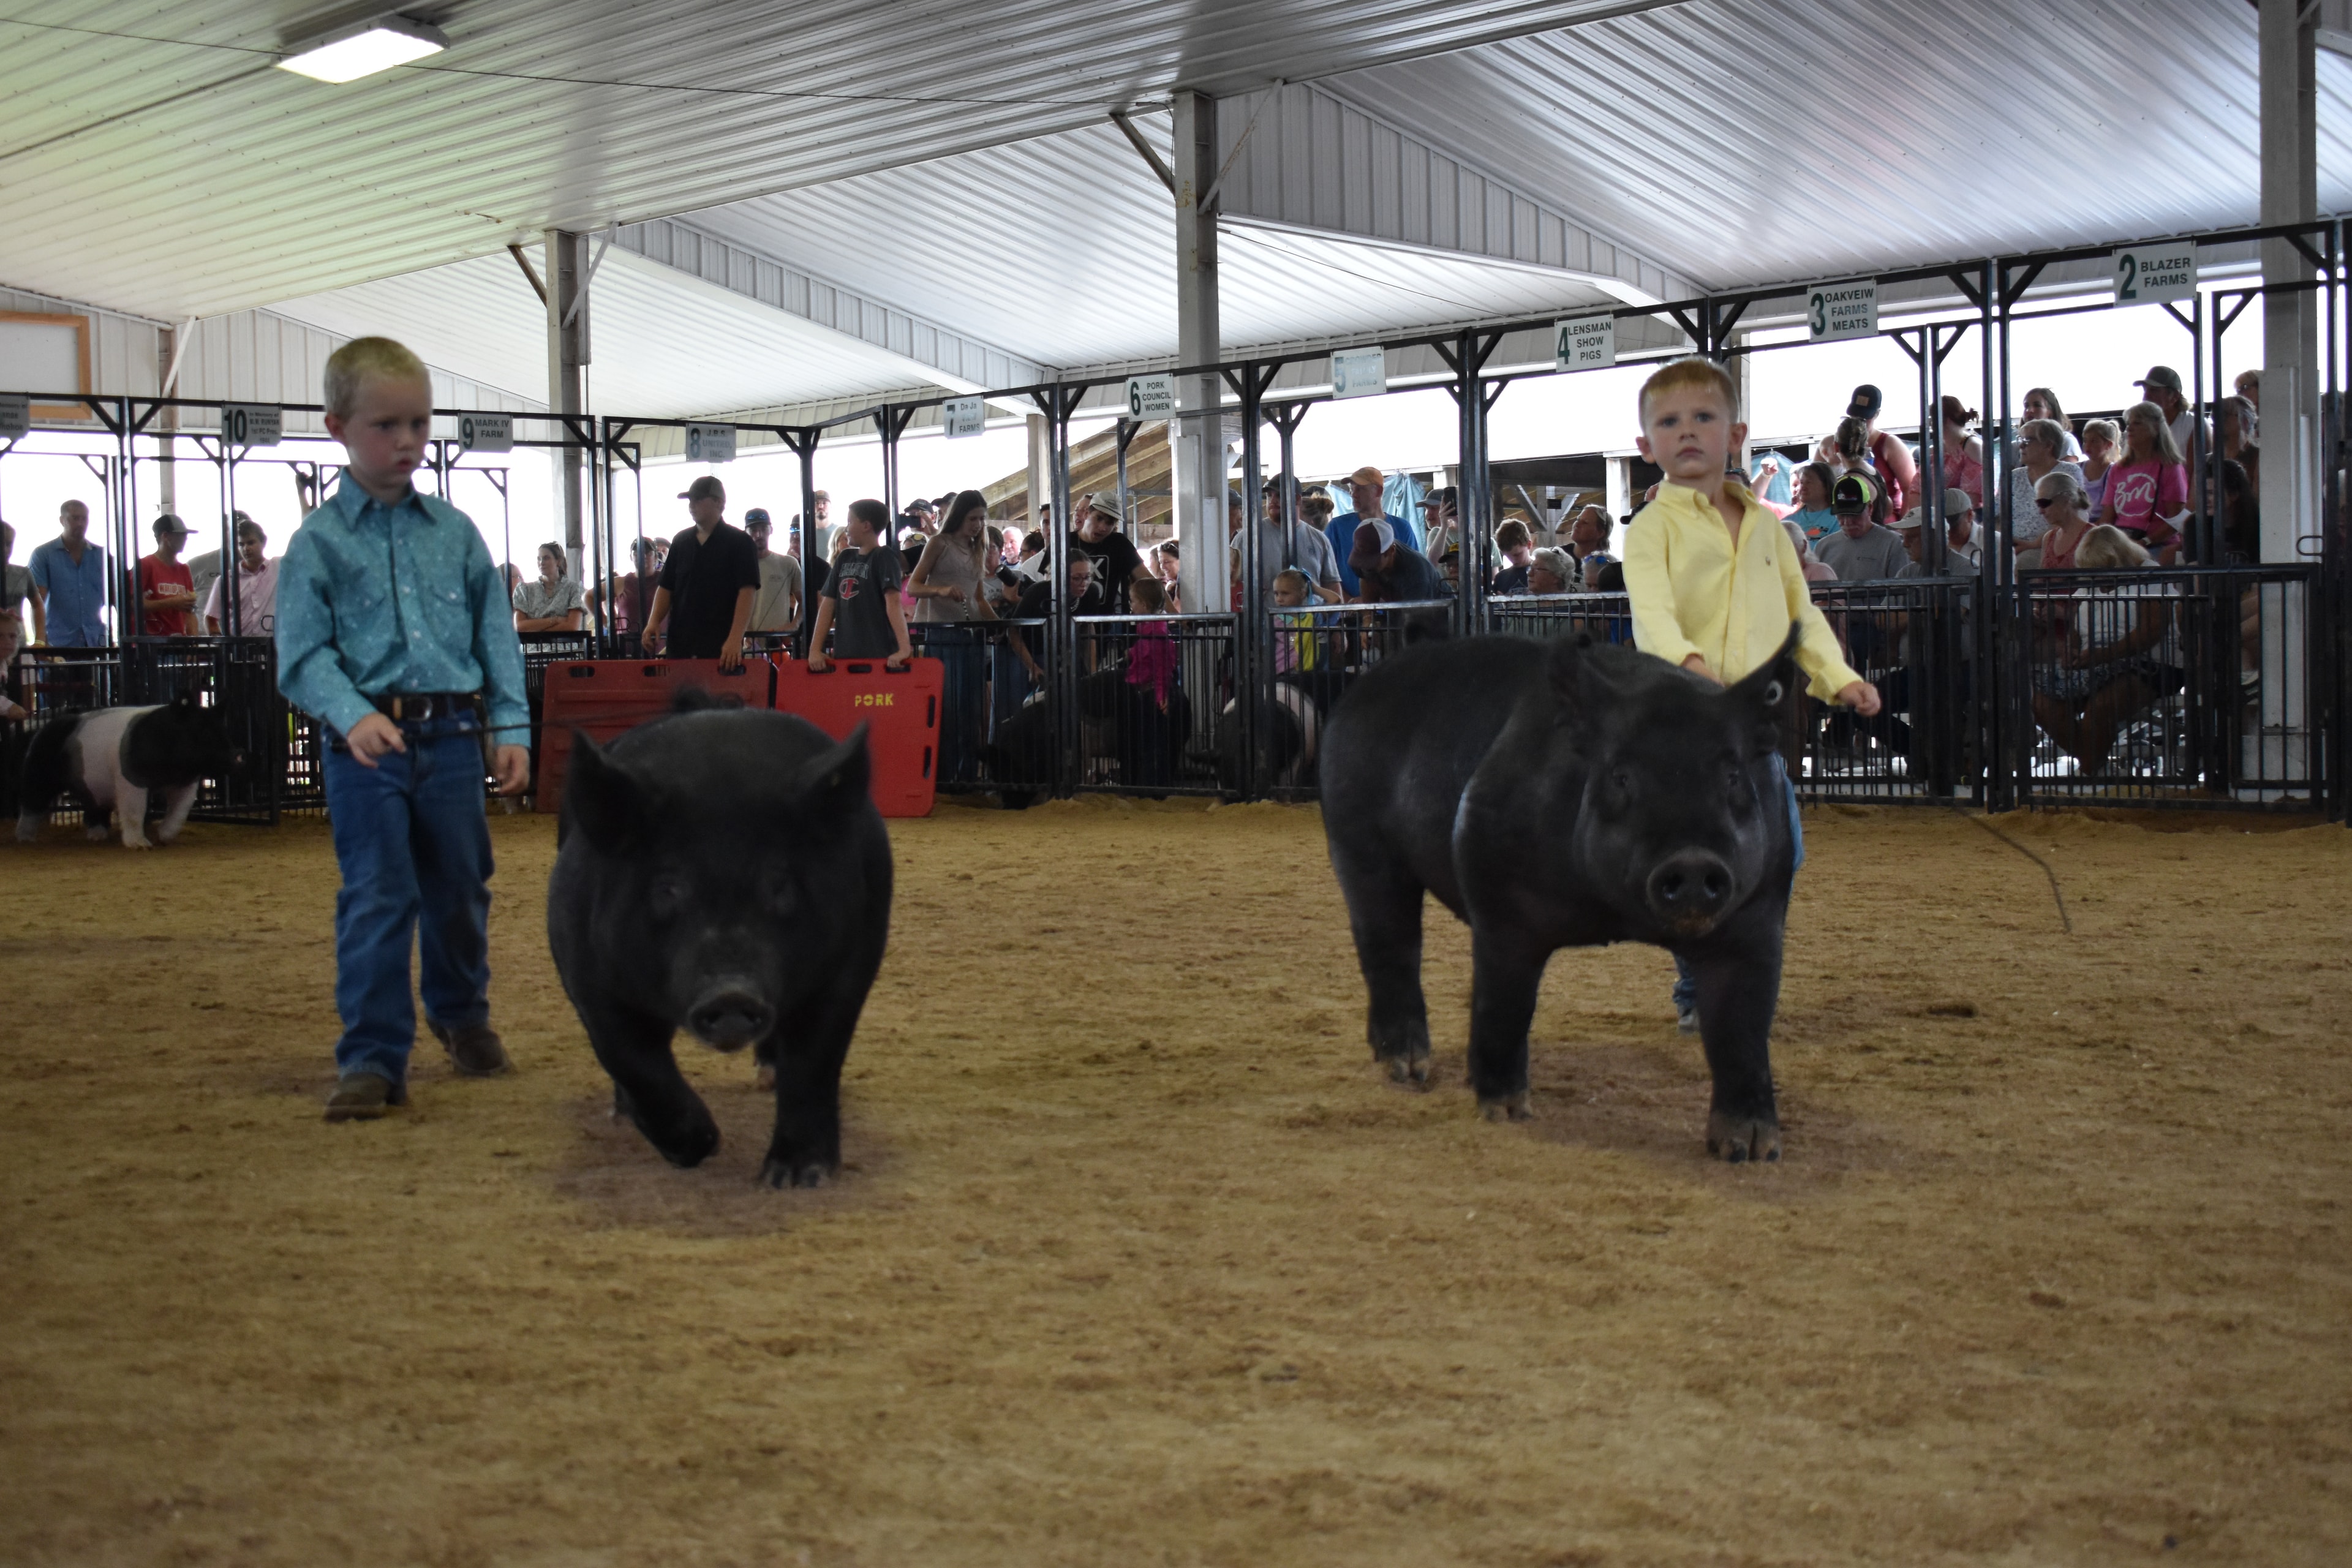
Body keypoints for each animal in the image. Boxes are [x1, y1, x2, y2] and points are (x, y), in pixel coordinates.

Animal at [15, 695, 246, 849]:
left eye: (224, 731)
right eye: (203, 733)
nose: (238, 757)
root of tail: (44, 726)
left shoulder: (186, 783)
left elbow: (180, 811)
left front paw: (164, 837)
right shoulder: (130, 779)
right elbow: (135, 811)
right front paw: (142, 846)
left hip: (91, 784)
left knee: (94, 807)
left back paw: (98, 837)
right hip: (38, 773)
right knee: (32, 803)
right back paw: (25, 839)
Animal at [547, 700, 892, 1188]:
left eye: (780, 885)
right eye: (668, 886)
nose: (731, 993)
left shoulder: (855, 958)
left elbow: (815, 1058)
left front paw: (795, 1179)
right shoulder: (586, 972)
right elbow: (632, 1060)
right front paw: (703, 1148)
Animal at [1319, 628, 1803, 1162]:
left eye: (1733, 776)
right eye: (1621, 776)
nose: (1693, 861)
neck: (1615, 915)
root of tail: (1356, 694)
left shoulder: (1757, 916)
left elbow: (1741, 1028)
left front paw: (1753, 1150)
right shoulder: (1499, 902)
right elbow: (1504, 1003)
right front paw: (1506, 1113)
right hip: (1356, 837)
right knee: (1389, 946)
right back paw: (1406, 1069)